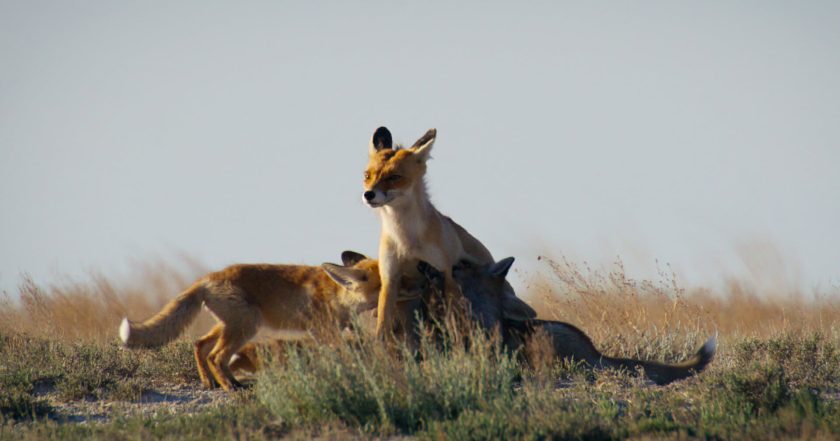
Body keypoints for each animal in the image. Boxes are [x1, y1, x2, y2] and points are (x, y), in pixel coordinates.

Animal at [118, 249, 380, 390]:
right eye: (383, 285)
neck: (339, 293)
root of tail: (207, 278)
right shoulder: (323, 330)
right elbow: (341, 351)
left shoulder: (340, 327)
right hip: (246, 325)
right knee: (216, 356)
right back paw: (230, 387)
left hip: (231, 325)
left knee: (200, 345)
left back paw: (214, 382)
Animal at [362, 125, 536, 336]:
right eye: (367, 176)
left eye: (394, 177)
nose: (368, 194)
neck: (407, 240)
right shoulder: (390, 278)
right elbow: (381, 328)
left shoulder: (446, 275)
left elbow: (452, 324)